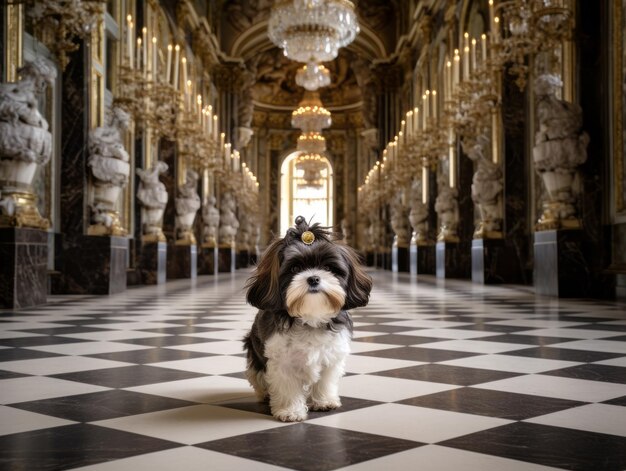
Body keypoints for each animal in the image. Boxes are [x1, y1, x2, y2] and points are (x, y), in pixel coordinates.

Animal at [243, 216, 370, 422]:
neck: (310, 317)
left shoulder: (332, 356)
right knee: (257, 375)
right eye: (295, 268)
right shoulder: (282, 361)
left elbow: (326, 380)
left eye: (327, 267)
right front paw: (291, 411)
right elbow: (287, 386)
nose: (313, 278)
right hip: (255, 355)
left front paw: (324, 401)